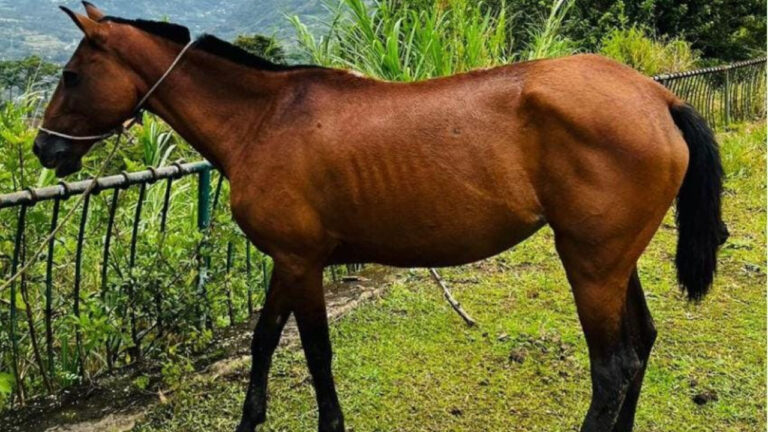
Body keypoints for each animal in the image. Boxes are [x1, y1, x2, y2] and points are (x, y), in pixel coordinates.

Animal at [34, 4, 727, 432]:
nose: (44, 149)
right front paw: (249, 417)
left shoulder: (301, 263)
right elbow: (264, 340)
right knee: (641, 345)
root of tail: (657, 97)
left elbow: (316, 354)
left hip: (590, 264)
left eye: (72, 75)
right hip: (612, 261)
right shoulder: (289, 260)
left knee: (612, 370)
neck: (264, 120)